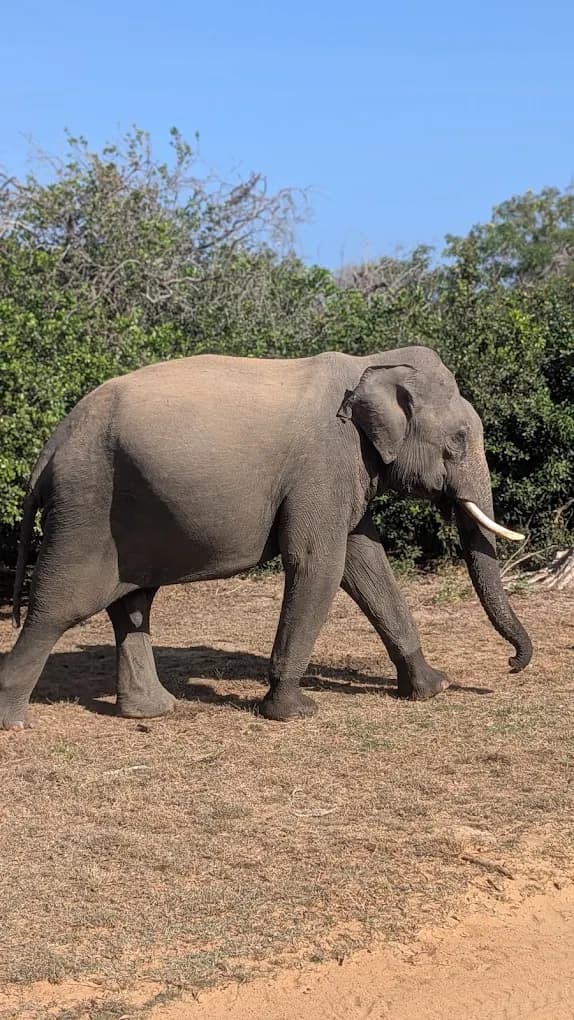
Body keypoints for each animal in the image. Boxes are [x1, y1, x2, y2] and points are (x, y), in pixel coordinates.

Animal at [0, 345, 532, 730]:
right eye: (458, 441)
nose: (511, 664)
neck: (369, 363)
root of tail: (52, 445)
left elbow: (366, 561)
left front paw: (432, 688)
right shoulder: (323, 464)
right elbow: (319, 563)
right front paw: (295, 713)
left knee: (131, 604)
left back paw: (153, 712)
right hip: (87, 504)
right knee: (60, 606)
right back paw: (15, 723)